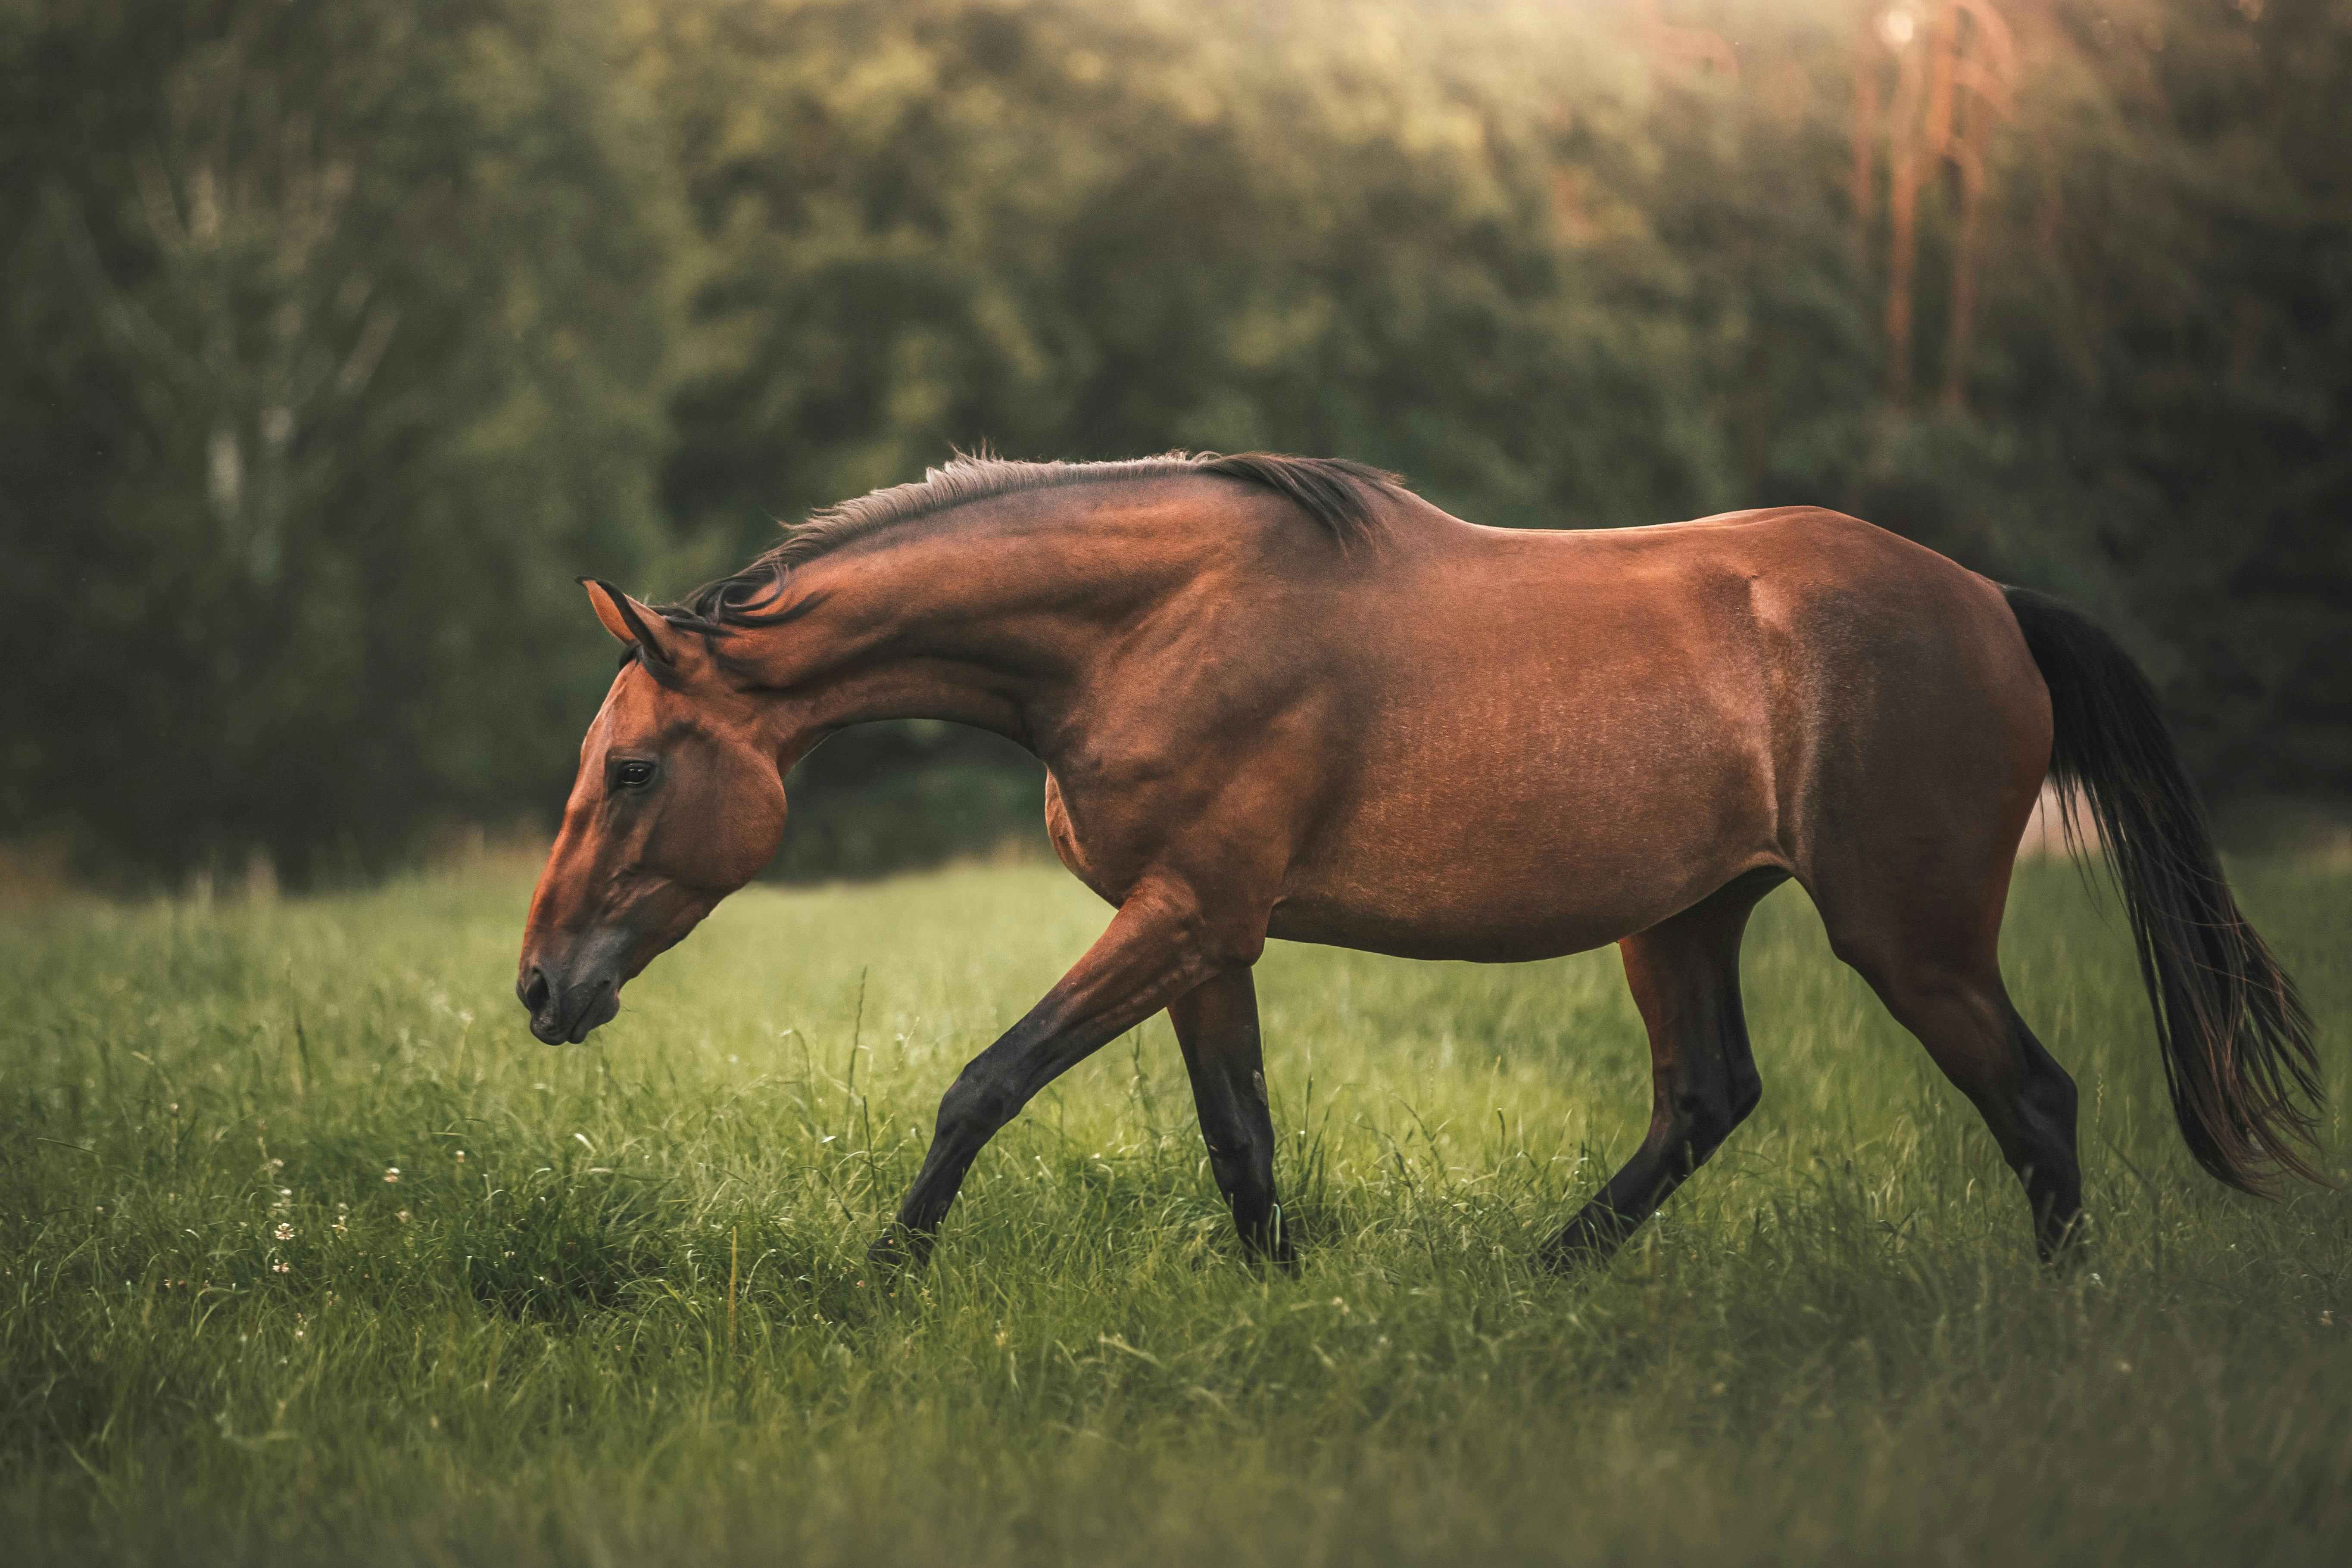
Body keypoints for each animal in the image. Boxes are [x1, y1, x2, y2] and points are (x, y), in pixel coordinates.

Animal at [516, 451, 2322, 1272]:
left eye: (633, 766)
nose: (539, 987)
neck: (1148, 624)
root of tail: (1992, 603)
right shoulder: (1208, 931)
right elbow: (1238, 1136)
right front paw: (1282, 1296)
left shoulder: (1184, 913)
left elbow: (983, 1080)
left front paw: (881, 1273)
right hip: (1684, 916)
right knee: (1705, 1096)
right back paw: (1544, 1275)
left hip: (1908, 932)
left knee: (2036, 1100)